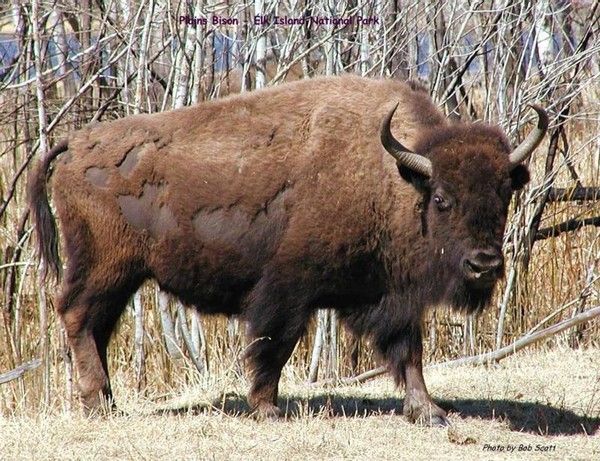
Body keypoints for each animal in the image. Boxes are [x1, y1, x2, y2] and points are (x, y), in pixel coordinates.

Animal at [29, 74, 548, 424]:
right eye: (442, 199)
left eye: (505, 194)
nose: (484, 264)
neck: (393, 176)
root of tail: (76, 143)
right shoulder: (287, 289)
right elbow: (273, 346)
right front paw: (266, 408)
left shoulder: (391, 296)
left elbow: (409, 352)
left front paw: (429, 411)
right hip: (105, 266)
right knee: (76, 315)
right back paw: (98, 404)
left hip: (123, 277)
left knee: (95, 326)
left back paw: (107, 401)